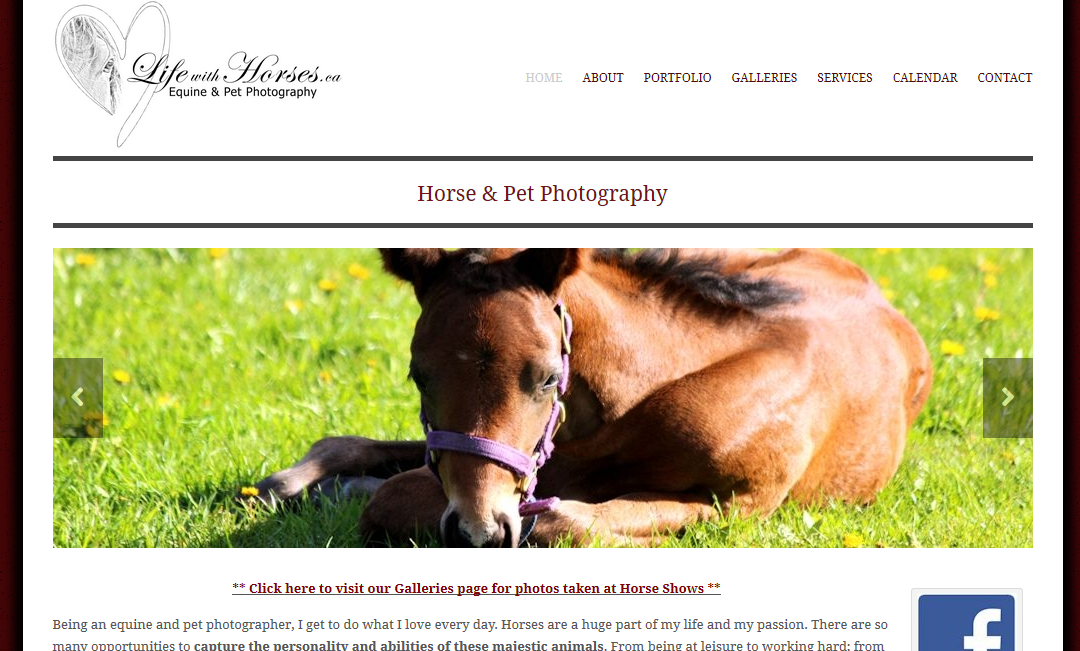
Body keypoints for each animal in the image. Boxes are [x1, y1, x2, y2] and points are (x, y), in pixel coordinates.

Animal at [248, 248, 932, 547]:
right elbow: (396, 490)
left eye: (549, 377)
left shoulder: (738, 506)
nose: (475, 528)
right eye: (418, 375)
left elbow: (564, 521)